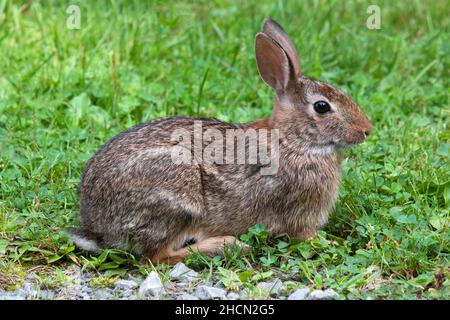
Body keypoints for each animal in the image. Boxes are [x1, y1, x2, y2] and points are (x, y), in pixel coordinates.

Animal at [69, 19, 372, 264]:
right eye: (322, 107)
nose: (366, 130)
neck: (292, 140)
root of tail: (99, 228)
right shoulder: (295, 216)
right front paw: (331, 242)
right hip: (178, 198)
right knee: (156, 257)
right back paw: (225, 245)